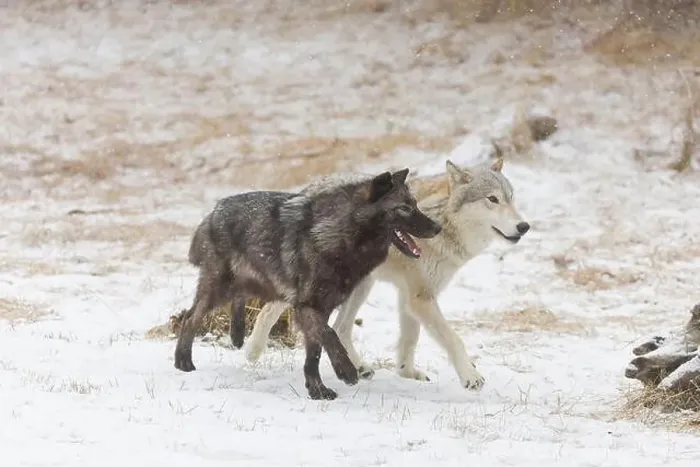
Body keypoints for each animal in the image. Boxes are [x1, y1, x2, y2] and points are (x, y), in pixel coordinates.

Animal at [174, 168, 442, 400]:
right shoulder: (306, 306)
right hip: (219, 289)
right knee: (190, 318)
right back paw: (183, 362)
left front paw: (317, 390)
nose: (438, 228)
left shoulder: (321, 308)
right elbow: (330, 334)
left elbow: (314, 353)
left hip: (247, 286)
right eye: (404, 208)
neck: (339, 235)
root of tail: (213, 211)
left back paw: (235, 337)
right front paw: (346, 371)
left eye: (415, 204)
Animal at [238, 158, 529, 391]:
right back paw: (252, 352)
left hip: (359, 285)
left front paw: (407, 373)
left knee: (340, 327)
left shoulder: (410, 297)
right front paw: (470, 376)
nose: (523, 226)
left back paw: (359, 368)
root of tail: (308, 189)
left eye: (511, 198)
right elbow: (453, 339)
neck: (443, 223)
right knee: (271, 310)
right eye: (492, 199)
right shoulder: (421, 298)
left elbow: (410, 339)